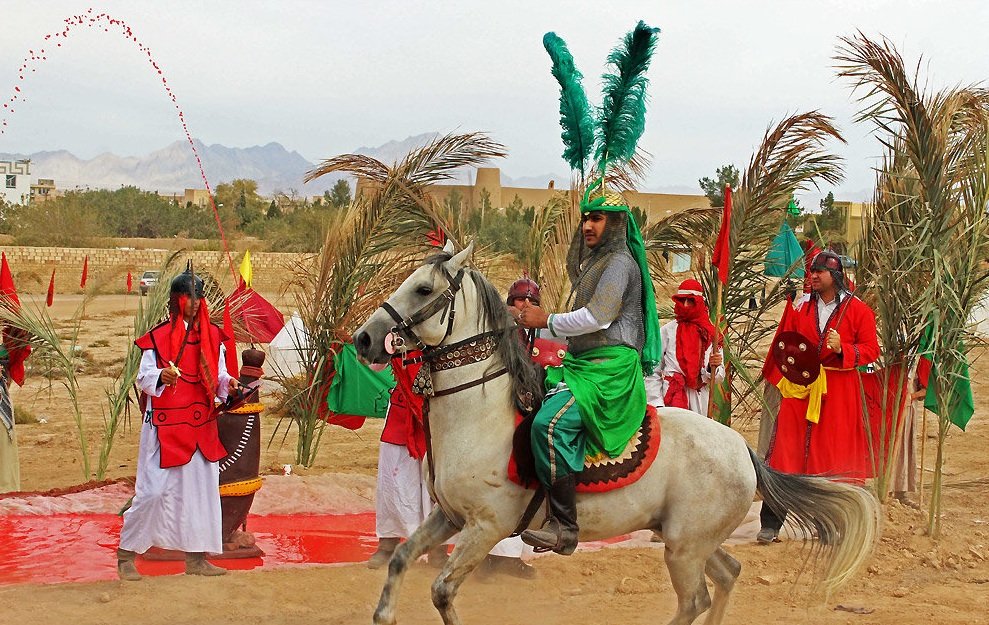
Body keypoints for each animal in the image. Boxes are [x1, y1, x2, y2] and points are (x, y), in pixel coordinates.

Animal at [356, 243, 880, 624]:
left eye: (423, 289)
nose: (364, 338)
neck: (483, 416)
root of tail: (743, 449)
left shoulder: (488, 526)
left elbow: (442, 591)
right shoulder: (449, 518)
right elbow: (401, 559)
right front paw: (384, 612)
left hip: (685, 548)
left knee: (695, 599)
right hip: (688, 539)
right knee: (728, 575)